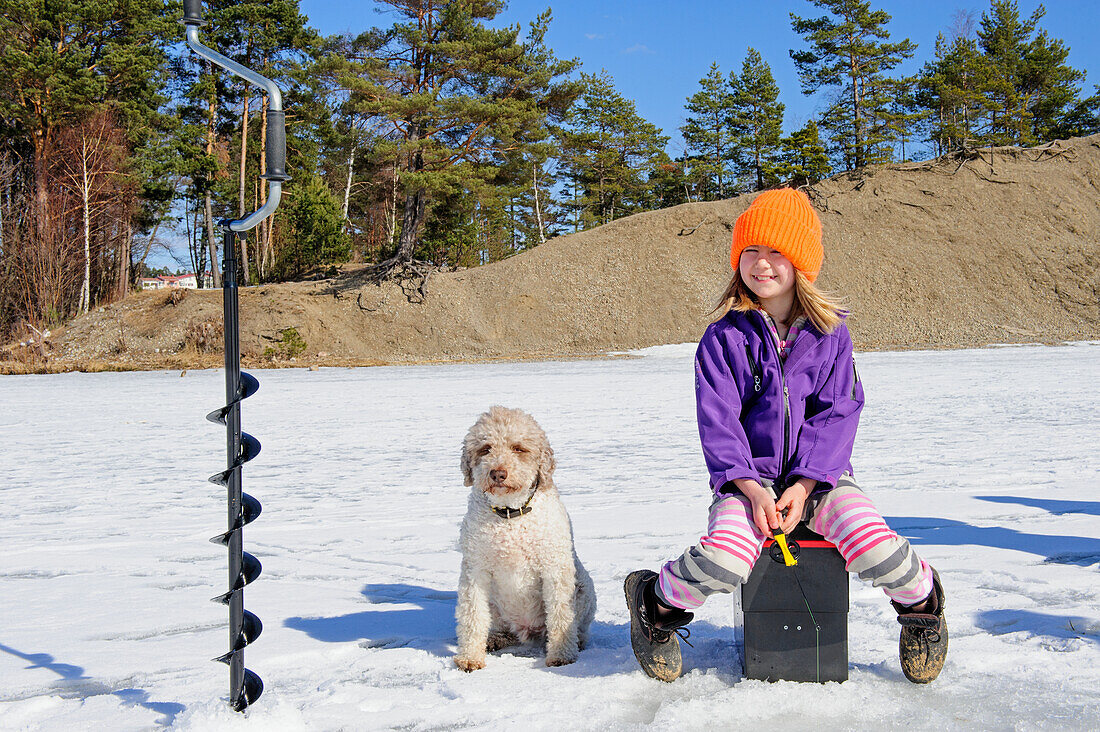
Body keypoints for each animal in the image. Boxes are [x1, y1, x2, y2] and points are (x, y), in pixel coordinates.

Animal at [453, 405, 598, 669]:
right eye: (485, 448)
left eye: (518, 448)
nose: (498, 474)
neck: (510, 515)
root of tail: (527, 631)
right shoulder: (474, 570)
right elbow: (472, 616)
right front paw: (470, 658)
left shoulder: (554, 567)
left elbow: (561, 615)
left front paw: (561, 655)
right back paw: (495, 639)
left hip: (585, 589)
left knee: (576, 626)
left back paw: (577, 642)